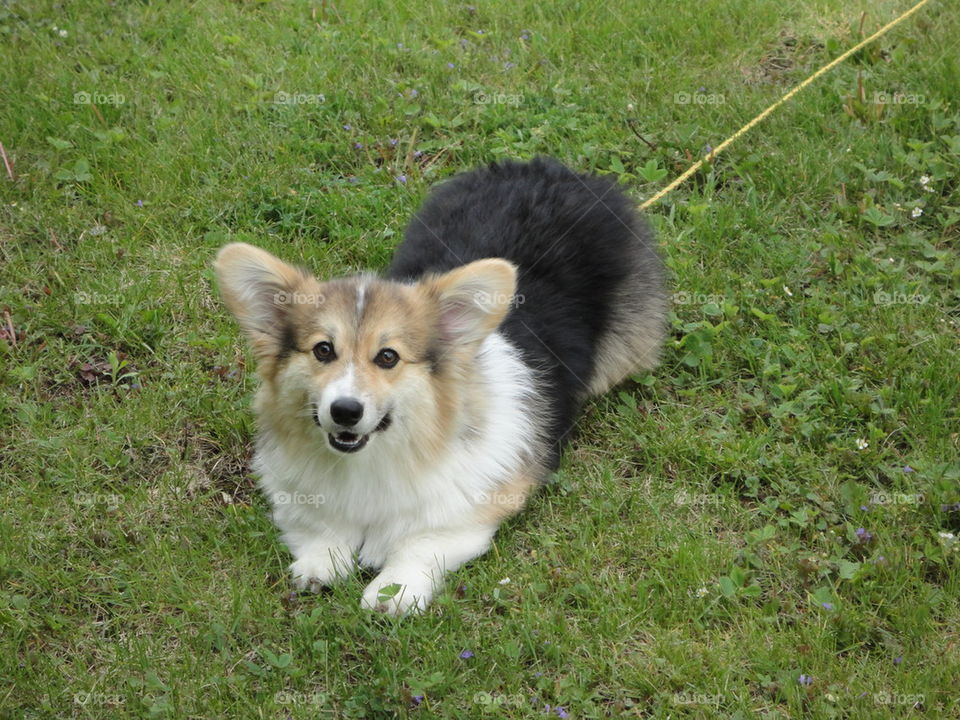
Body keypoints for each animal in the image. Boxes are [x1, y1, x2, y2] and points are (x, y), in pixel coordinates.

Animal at [216, 156, 668, 612]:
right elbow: (321, 529)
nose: (344, 411)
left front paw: (392, 590)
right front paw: (319, 564)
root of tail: (553, 169)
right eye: (323, 350)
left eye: (388, 357)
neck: (375, 458)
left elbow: (420, 543)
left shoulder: (469, 512)